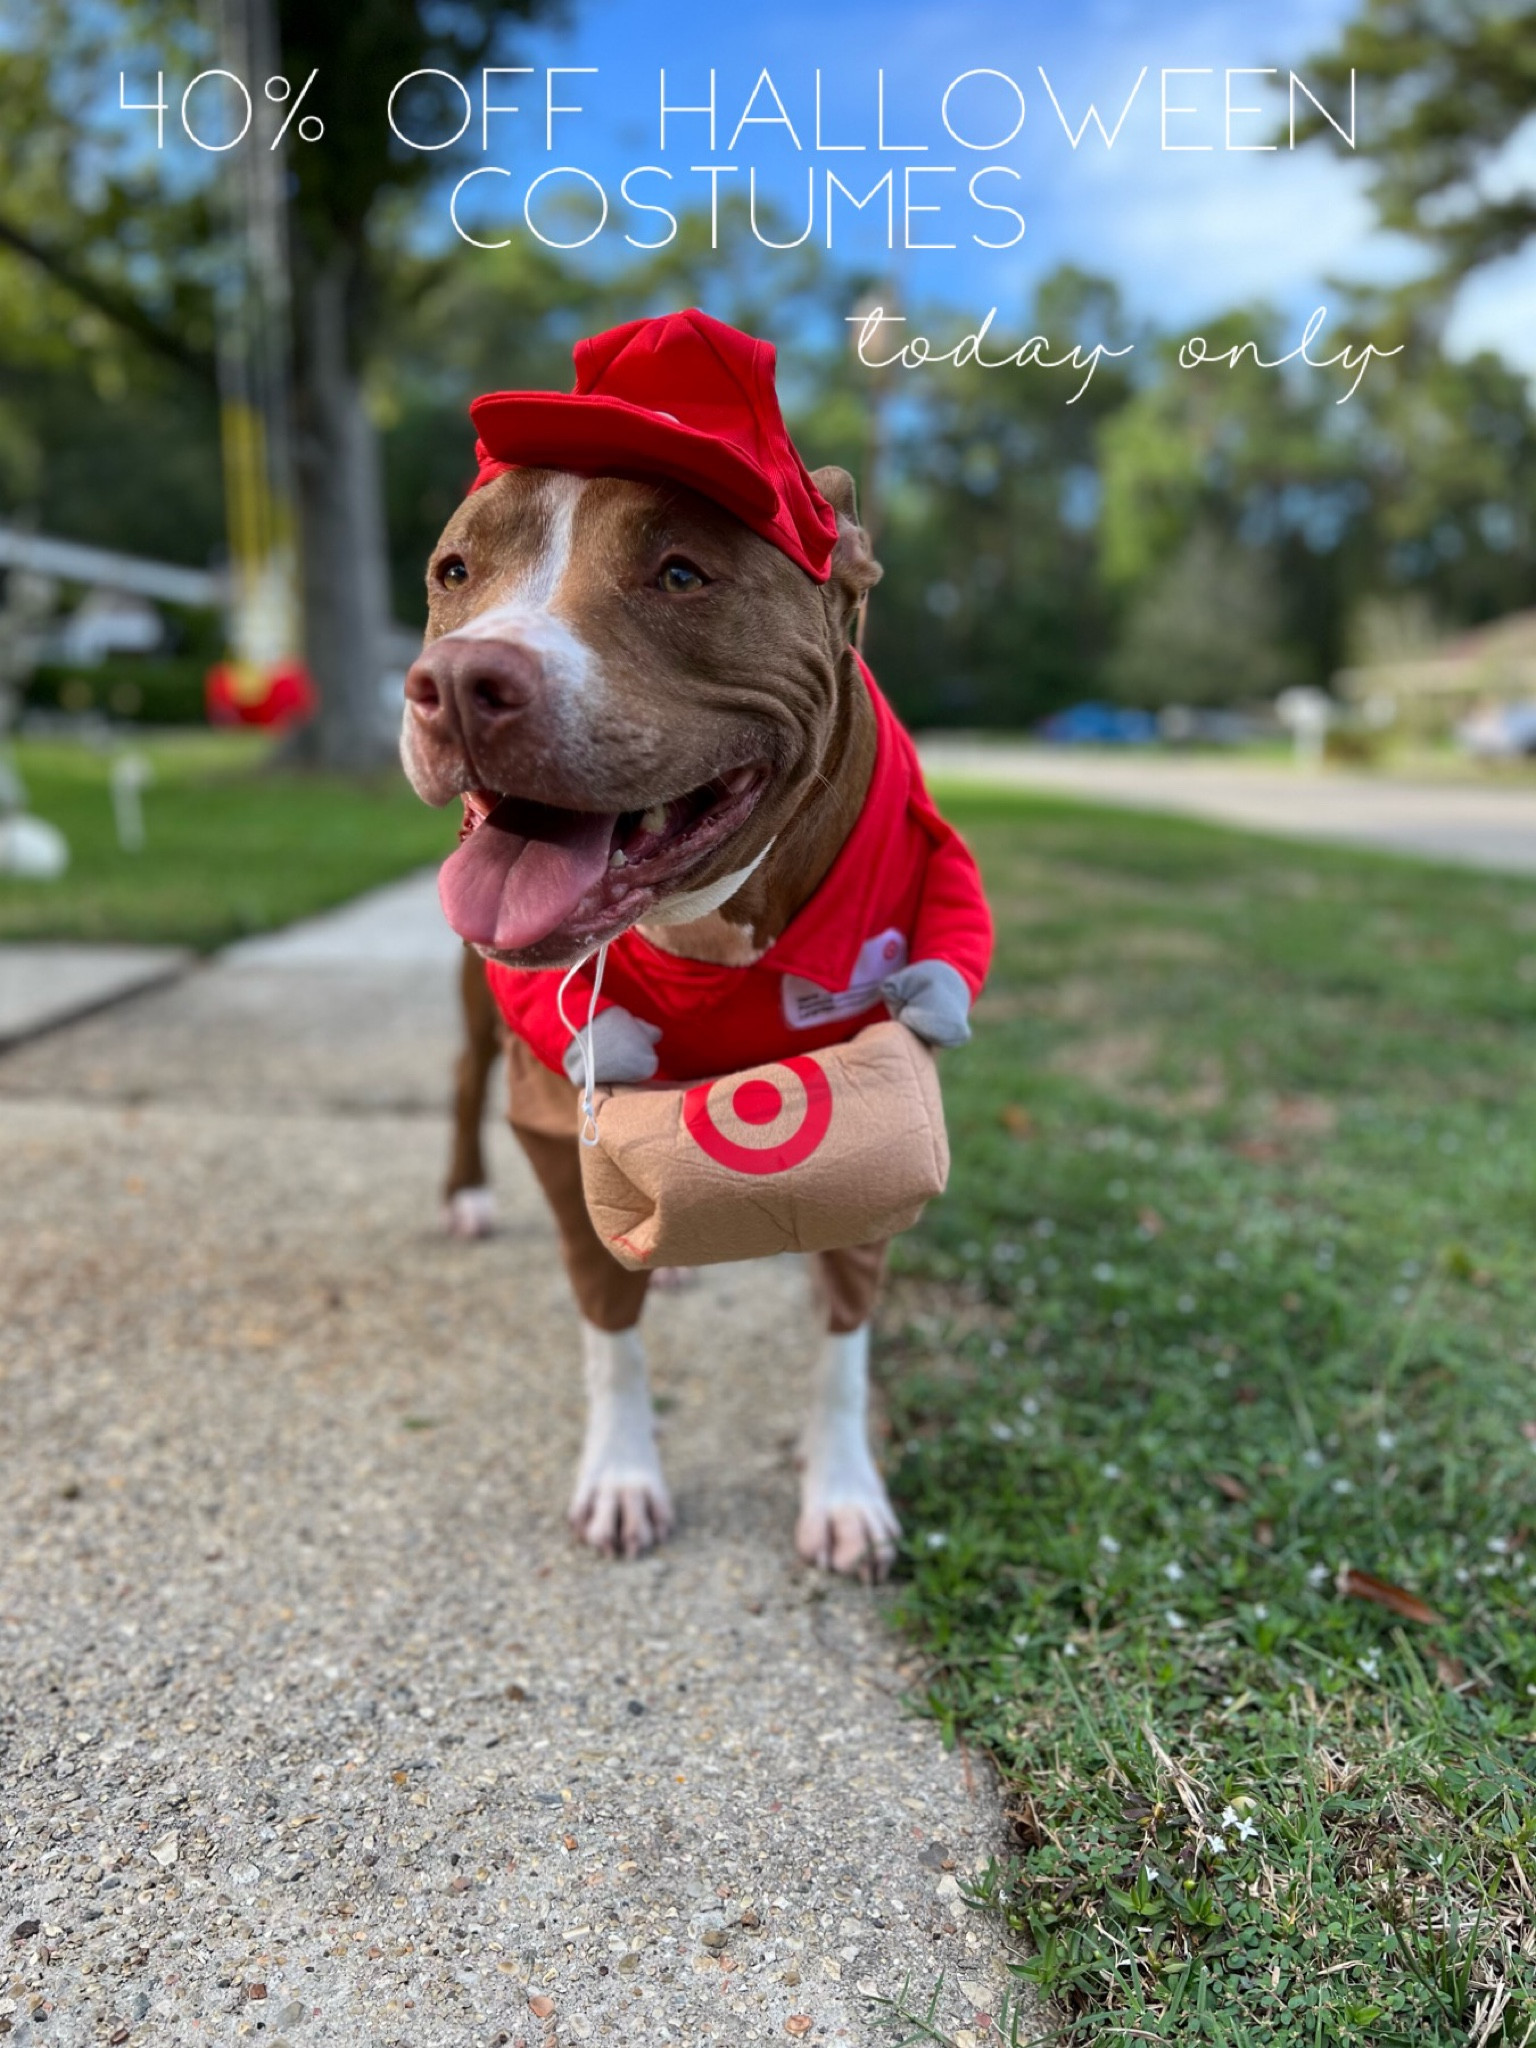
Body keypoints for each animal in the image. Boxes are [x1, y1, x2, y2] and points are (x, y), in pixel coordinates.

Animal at [403, 307, 991, 1581]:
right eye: (454, 571)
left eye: (681, 572)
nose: (461, 682)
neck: (708, 927)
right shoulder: (552, 1098)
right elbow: (606, 1318)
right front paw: (624, 1474)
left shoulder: (886, 1093)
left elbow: (844, 1326)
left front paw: (844, 1491)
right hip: (483, 1003)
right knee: (466, 1072)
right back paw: (465, 1193)